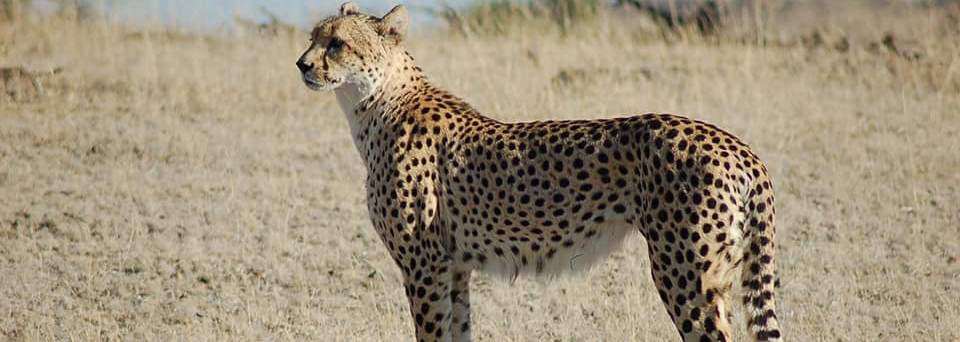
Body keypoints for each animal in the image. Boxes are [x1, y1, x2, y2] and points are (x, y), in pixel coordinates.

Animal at [298, 3, 780, 342]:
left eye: (337, 43)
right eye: (312, 37)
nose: (302, 64)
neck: (375, 103)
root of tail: (738, 145)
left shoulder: (425, 265)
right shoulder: (454, 268)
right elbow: (458, 330)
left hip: (686, 273)